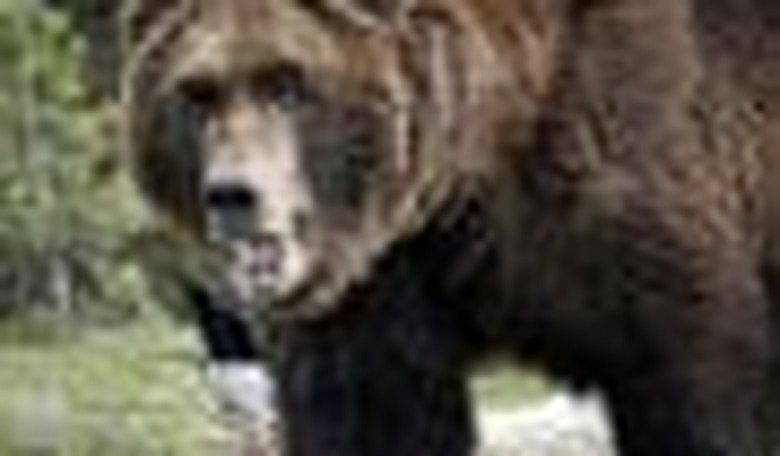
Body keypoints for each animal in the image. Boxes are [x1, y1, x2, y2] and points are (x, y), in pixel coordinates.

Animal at [122, 0, 780, 455]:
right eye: (199, 91)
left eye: (286, 81)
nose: (234, 195)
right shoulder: (385, 266)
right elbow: (375, 412)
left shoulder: (643, 186)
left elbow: (696, 393)